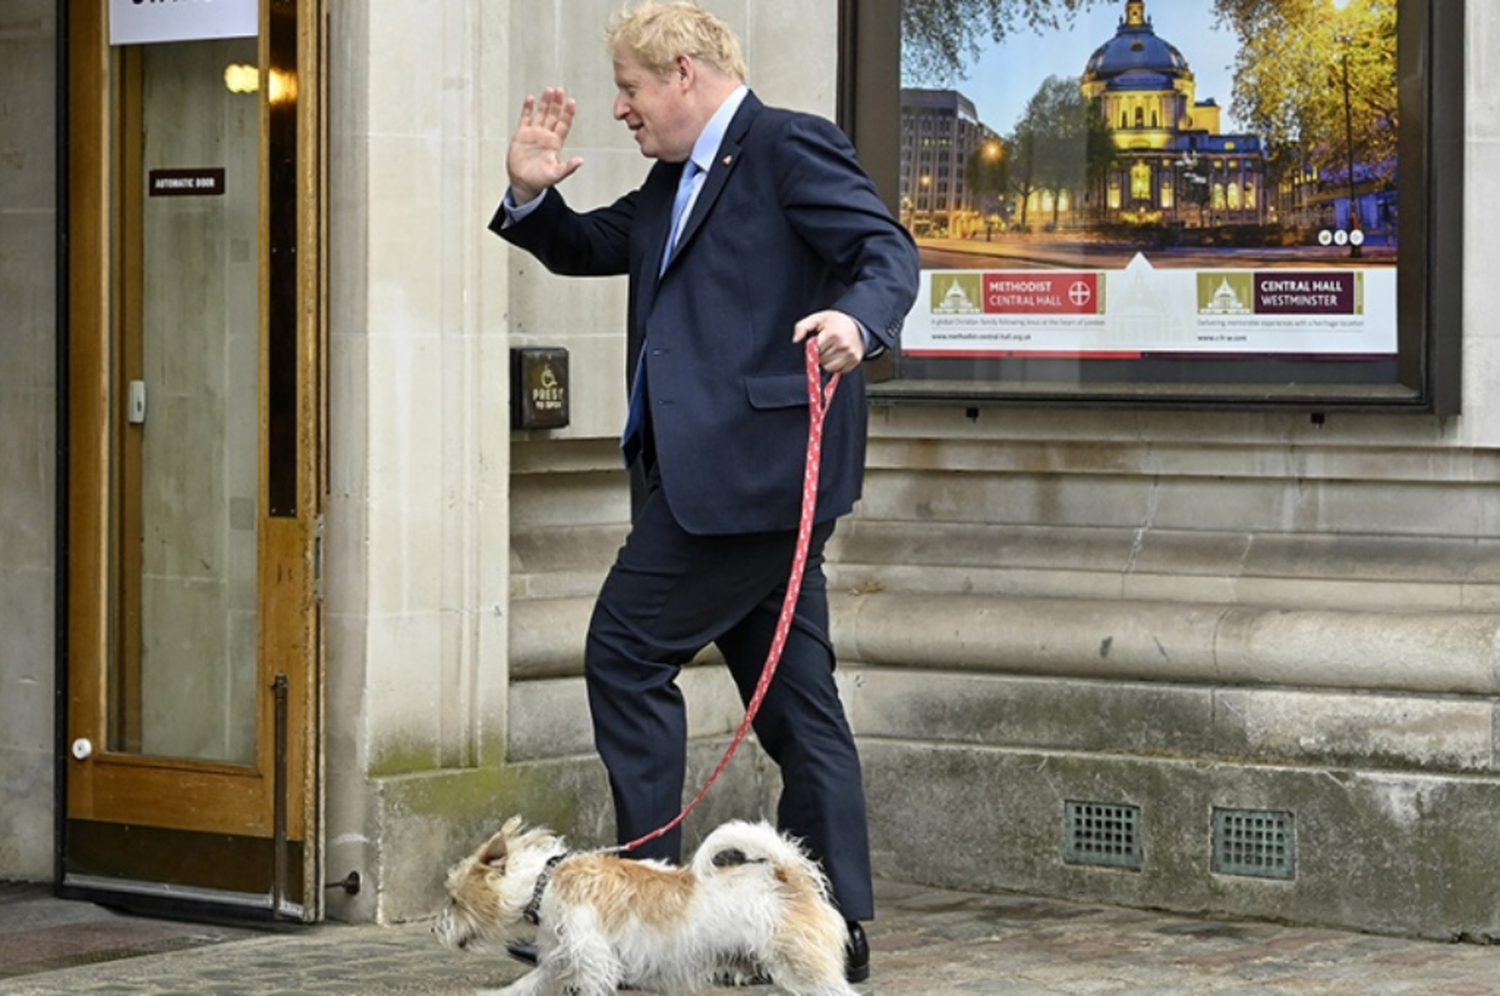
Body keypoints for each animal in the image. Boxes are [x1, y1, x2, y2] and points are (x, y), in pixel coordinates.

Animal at [438, 816, 858, 996]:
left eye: (455, 900)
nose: (435, 927)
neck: (546, 880)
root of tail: (790, 878)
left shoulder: (594, 962)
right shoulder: (563, 957)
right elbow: (529, 984)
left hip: (806, 970)